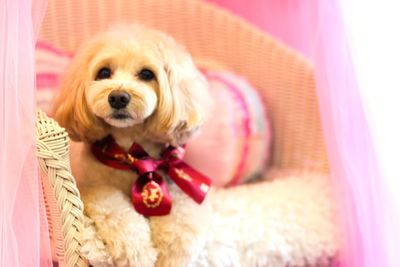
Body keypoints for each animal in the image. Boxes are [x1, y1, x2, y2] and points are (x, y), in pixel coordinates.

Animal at [54, 24, 214, 267]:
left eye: (147, 74)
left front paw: (172, 255)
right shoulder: (94, 188)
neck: (132, 156)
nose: (118, 97)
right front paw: (138, 252)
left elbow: (181, 224)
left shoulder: (175, 184)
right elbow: (118, 214)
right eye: (104, 73)